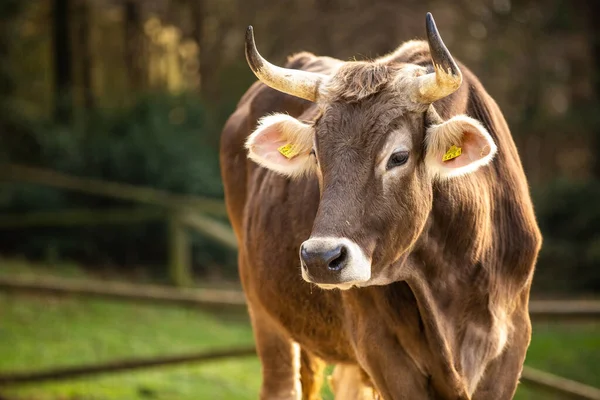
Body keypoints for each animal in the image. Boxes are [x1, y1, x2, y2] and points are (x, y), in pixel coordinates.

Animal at [220, 12, 544, 400]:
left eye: (399, 156)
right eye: (316, 154)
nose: (320, 259)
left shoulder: (510, 344)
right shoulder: (382, 348)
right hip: (263, 310)